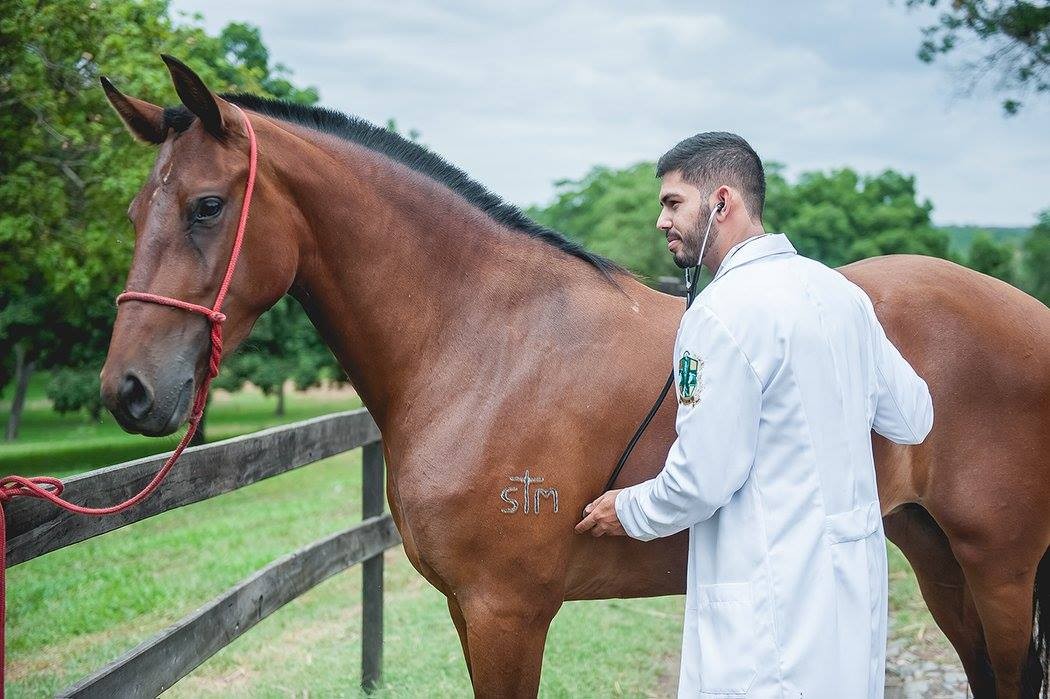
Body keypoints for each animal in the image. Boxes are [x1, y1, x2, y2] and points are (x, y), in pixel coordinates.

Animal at [100, 57, 1050, 692]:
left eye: (208, 206)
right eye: (135, 209)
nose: (127, 389)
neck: (485, 341)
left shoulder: (507, 611)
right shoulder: (469, 608)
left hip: (1001, 567)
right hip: (932, 549)